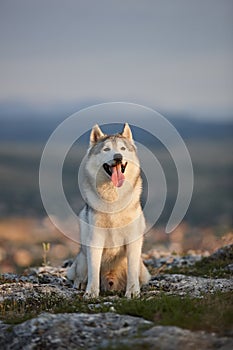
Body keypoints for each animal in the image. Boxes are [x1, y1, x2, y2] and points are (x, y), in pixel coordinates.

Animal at [67, 123, 151, 298]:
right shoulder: (95, 240)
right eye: (106, 149)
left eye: (122, 148)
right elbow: (93, 271)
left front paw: (133, 292)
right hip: (82, 259)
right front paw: (91, 293)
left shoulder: (133, 240)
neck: (113, 200)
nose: (118, 157)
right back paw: (80, 284)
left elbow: (132, 272)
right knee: (79, 275)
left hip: (143, 269)